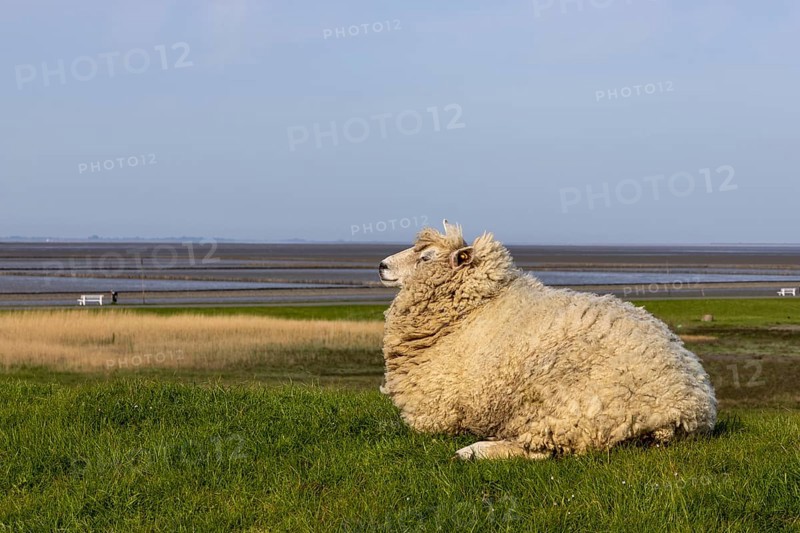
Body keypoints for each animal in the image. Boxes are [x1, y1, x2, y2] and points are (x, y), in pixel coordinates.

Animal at [378, 221, 717, 460]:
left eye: (425, 257)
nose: (381, 266)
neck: (469, 310)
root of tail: (688, 406)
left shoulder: (437, 412)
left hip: (568, 406)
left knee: (541, 450)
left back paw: (473, 451)